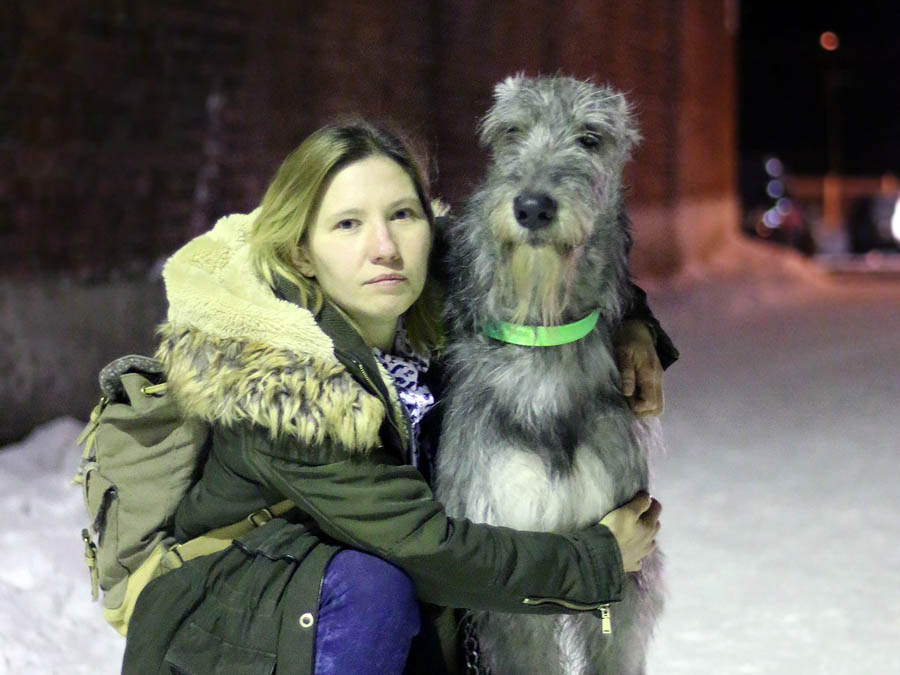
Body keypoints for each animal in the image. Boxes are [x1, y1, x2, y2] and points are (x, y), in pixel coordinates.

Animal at [436, 74, 668, 675]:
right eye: (510, 131)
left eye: (590, 138)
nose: (533, 207)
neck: (544, 346)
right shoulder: (511, 577)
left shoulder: (626, 576)